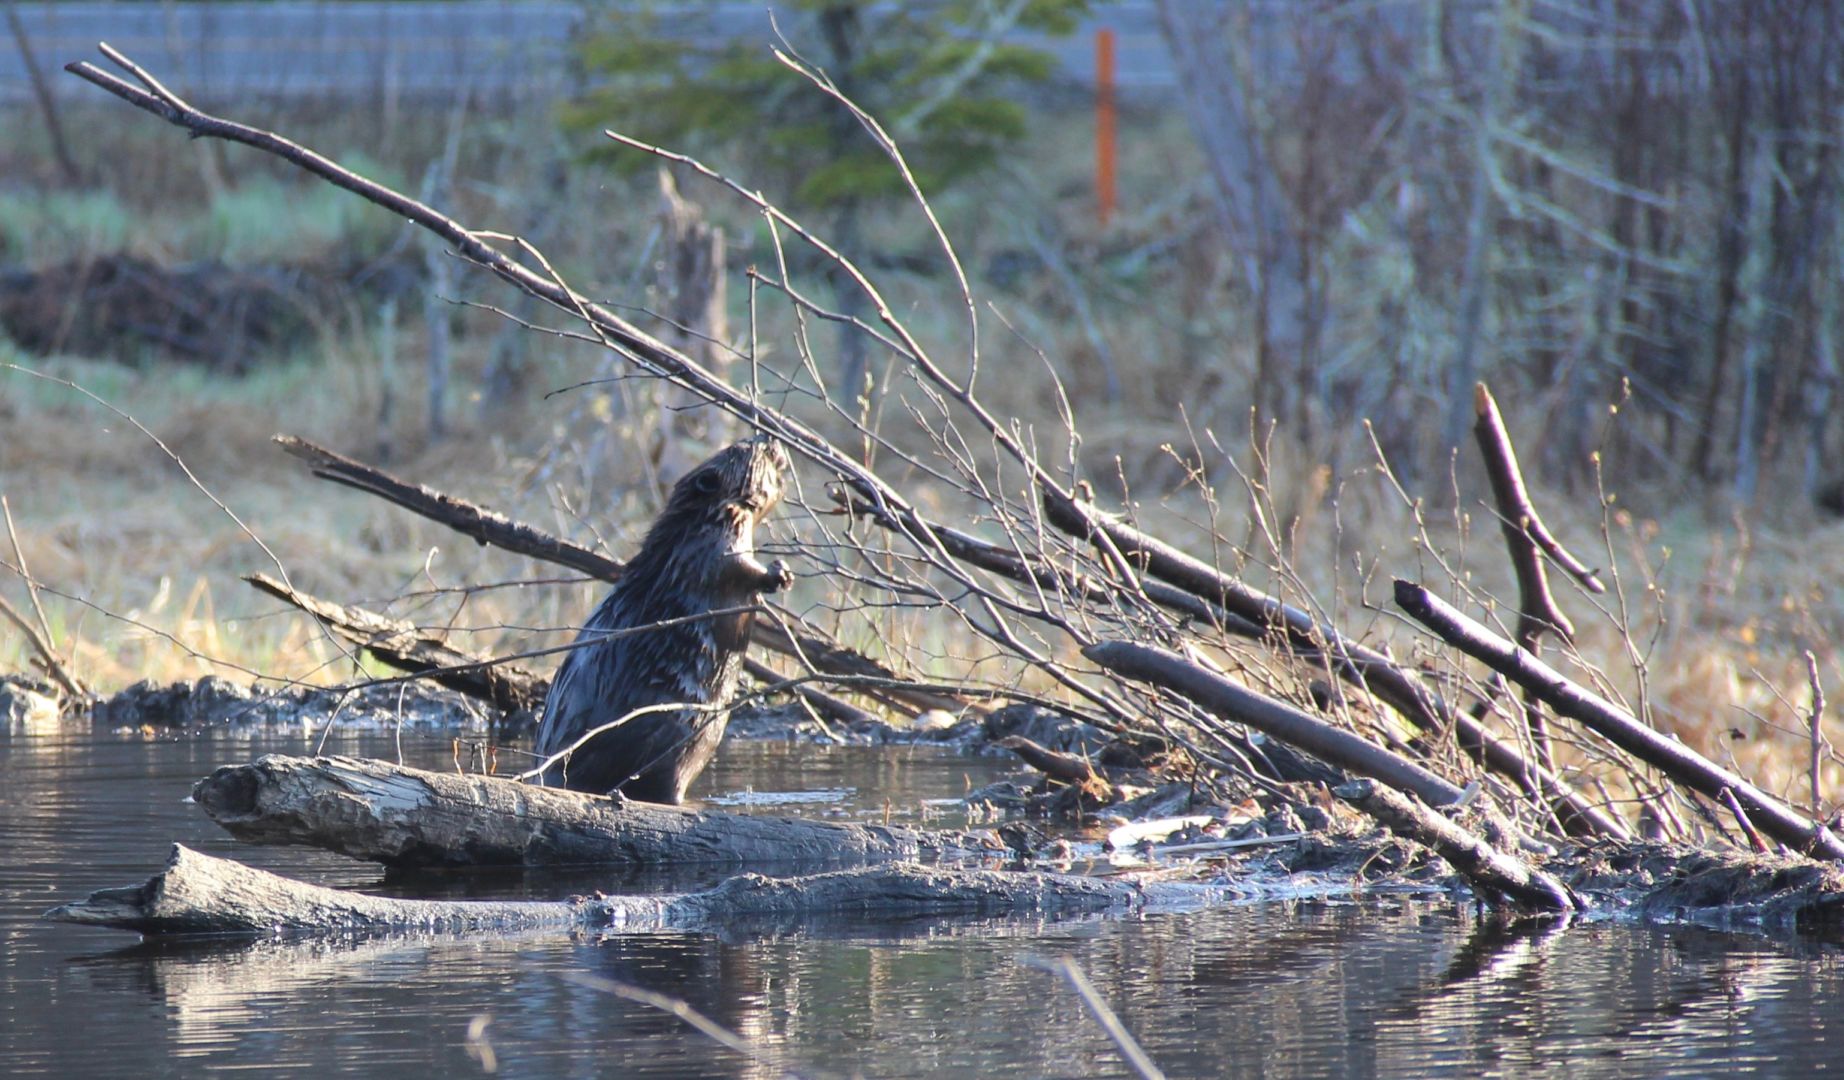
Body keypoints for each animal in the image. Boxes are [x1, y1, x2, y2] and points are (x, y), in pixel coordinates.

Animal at [534, 434, 792, 799]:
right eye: (737, 449)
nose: (767, 437)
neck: (691, 523)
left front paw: (783, 569)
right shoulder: (700, 550)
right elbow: (732, 568)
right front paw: (777, 574)